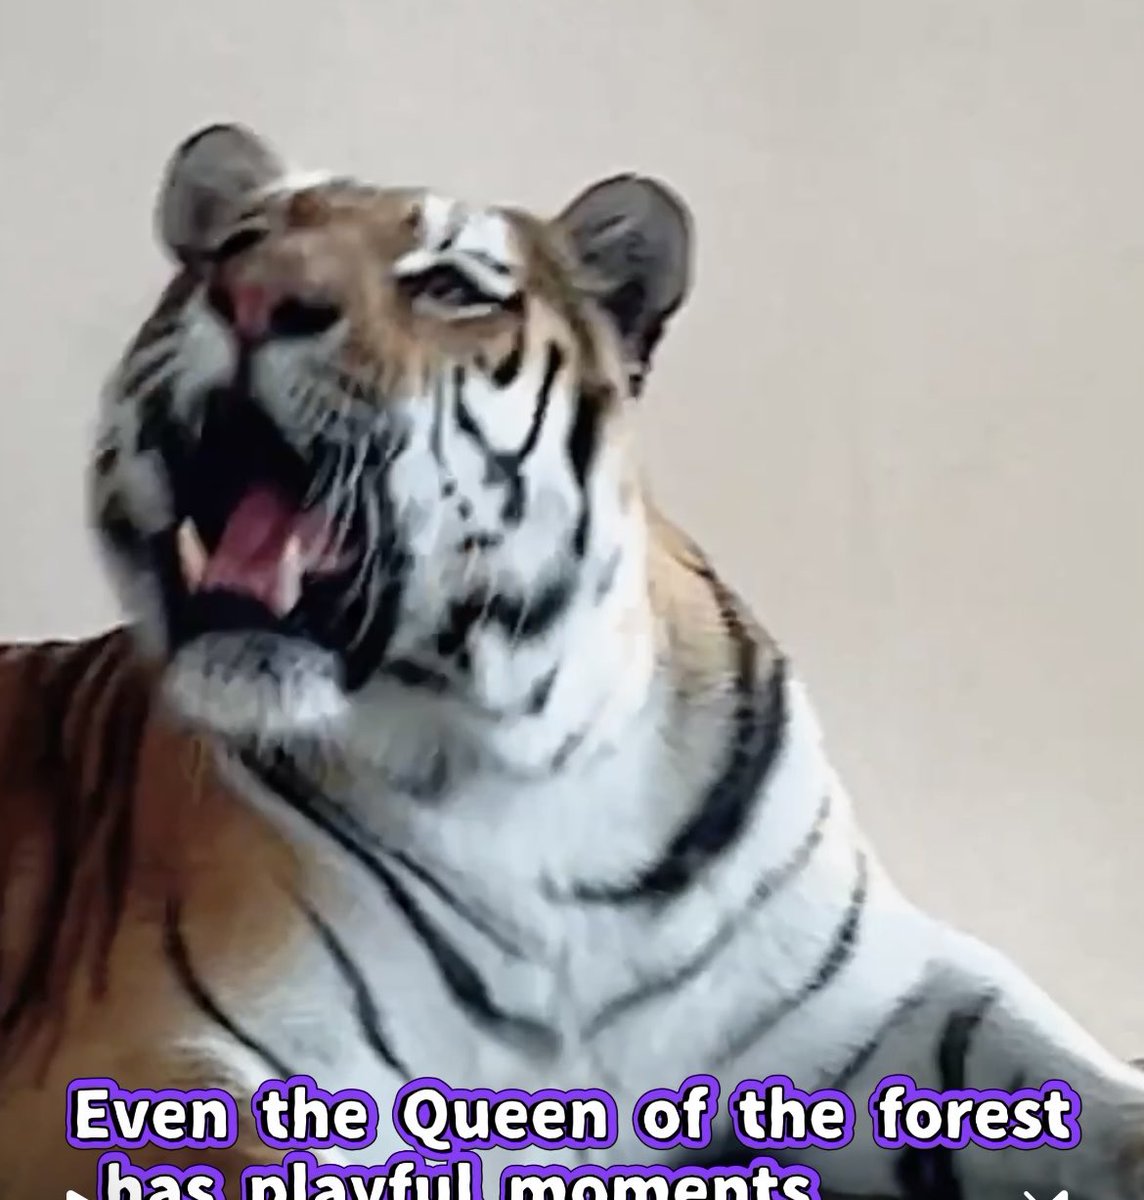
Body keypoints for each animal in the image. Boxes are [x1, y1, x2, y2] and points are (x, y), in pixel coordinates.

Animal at [0, 121, 1142, 1200]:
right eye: (234, 249)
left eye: (448, 287)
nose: (251, 294)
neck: (525, 751)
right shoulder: (144, 1065)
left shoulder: (889, 989)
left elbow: (1086, 1087)